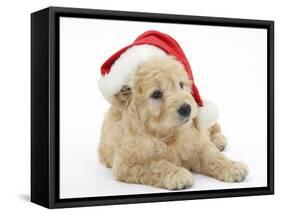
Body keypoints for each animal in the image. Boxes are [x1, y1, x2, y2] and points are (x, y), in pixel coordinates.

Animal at [98, 55, 247, 189]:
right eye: (156, 94)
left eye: (181, 85)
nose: (186, 108)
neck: (167, 133)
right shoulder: (128, 163)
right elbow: (156, 164)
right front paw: (176, 174)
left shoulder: (197, 143)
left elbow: (213, 156)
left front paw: (233, 167)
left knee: (214, 127)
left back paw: (219, 141)